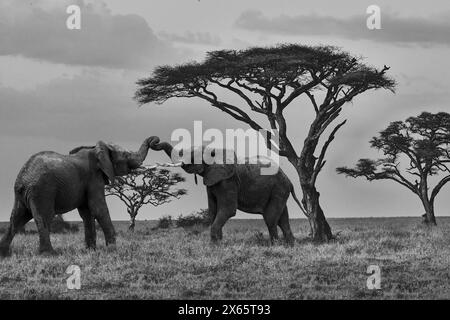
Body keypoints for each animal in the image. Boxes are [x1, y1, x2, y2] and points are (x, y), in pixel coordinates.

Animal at [0, 136, 157, 256]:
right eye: (126, 155)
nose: (155, 142)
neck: (96, 148)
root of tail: (23, 177)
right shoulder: (93, 177)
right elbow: (98, 208)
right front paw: (113, 249)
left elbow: (87, 213)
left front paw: (91, 250)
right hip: (42, 190)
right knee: (44, 216)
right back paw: (49, 254)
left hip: (23, 194)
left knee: (17, 218)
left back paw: (4, 254)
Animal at [149, 138, 304, 245]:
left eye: (192, 156)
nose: (154, 141)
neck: (214, 150)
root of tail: (289, 180)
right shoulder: (212, 181)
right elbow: (213, 211)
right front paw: (218, 243)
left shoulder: (228, 181)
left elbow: (228, 210)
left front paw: (214, 245)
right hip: (279, 190)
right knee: (282, 219)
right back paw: (290, 245)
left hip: (278, 188)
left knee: (271, 218)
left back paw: (275, 245)